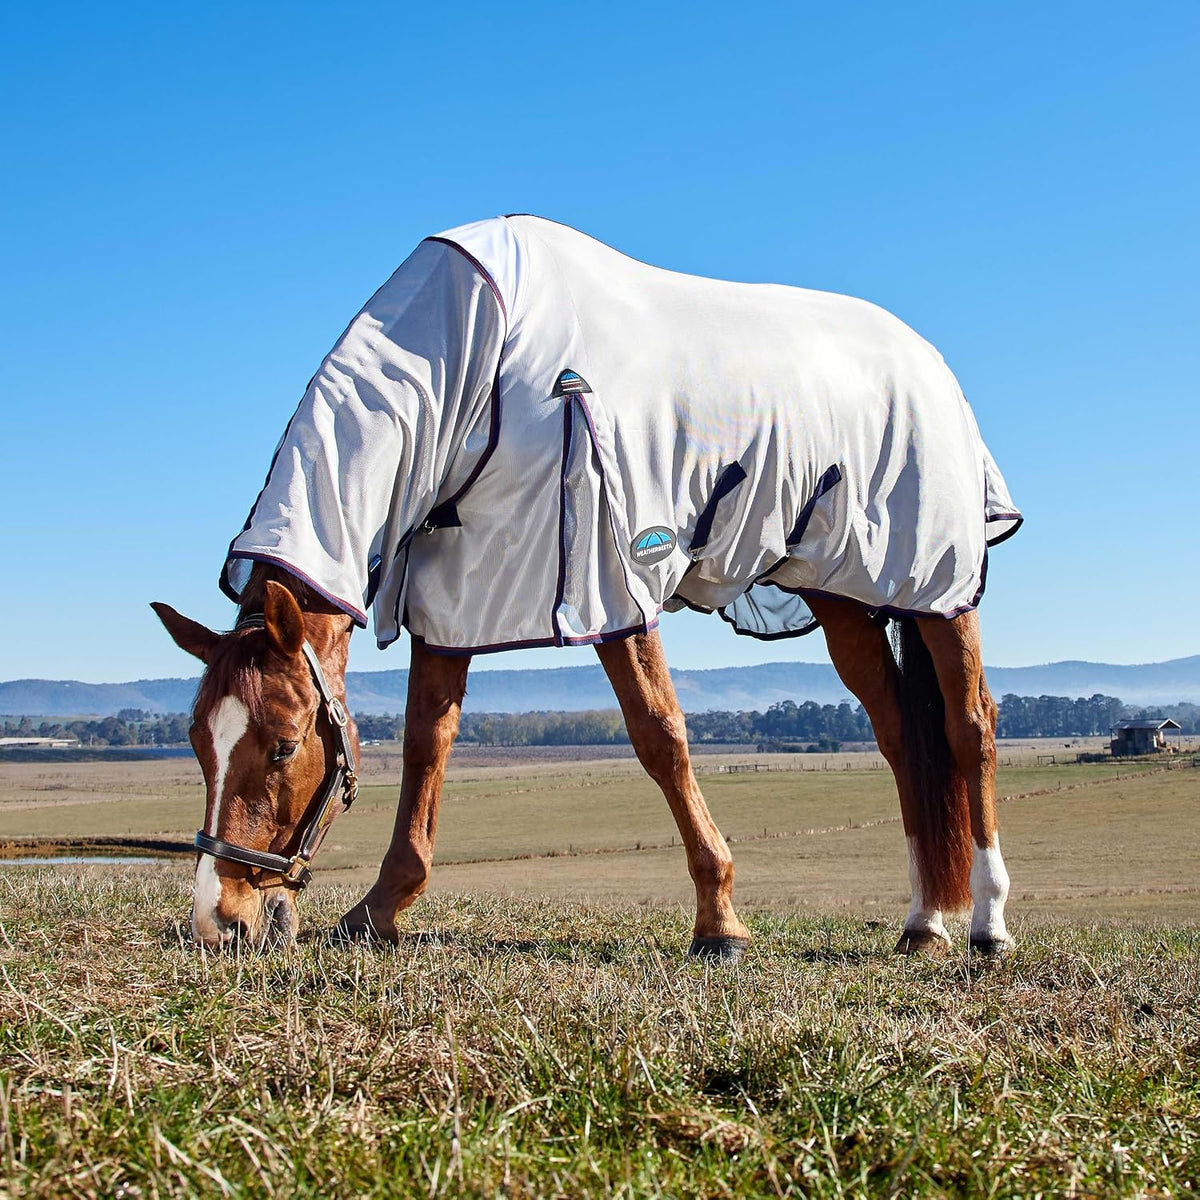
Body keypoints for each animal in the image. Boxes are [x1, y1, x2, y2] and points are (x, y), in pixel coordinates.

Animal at [153, 215, 1020, 959]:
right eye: (197, 741)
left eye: (284, 743)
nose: (220, 923)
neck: (478, 364)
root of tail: (927, 363)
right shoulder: (460, 585)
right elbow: (428, 744)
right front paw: (379, 910)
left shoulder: (611, 574)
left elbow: (660, 736)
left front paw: (720, 922)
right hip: (840, 594)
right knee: (902, 739)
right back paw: (921, 923)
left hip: (937, 587)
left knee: (969, 728)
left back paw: (986, 924)